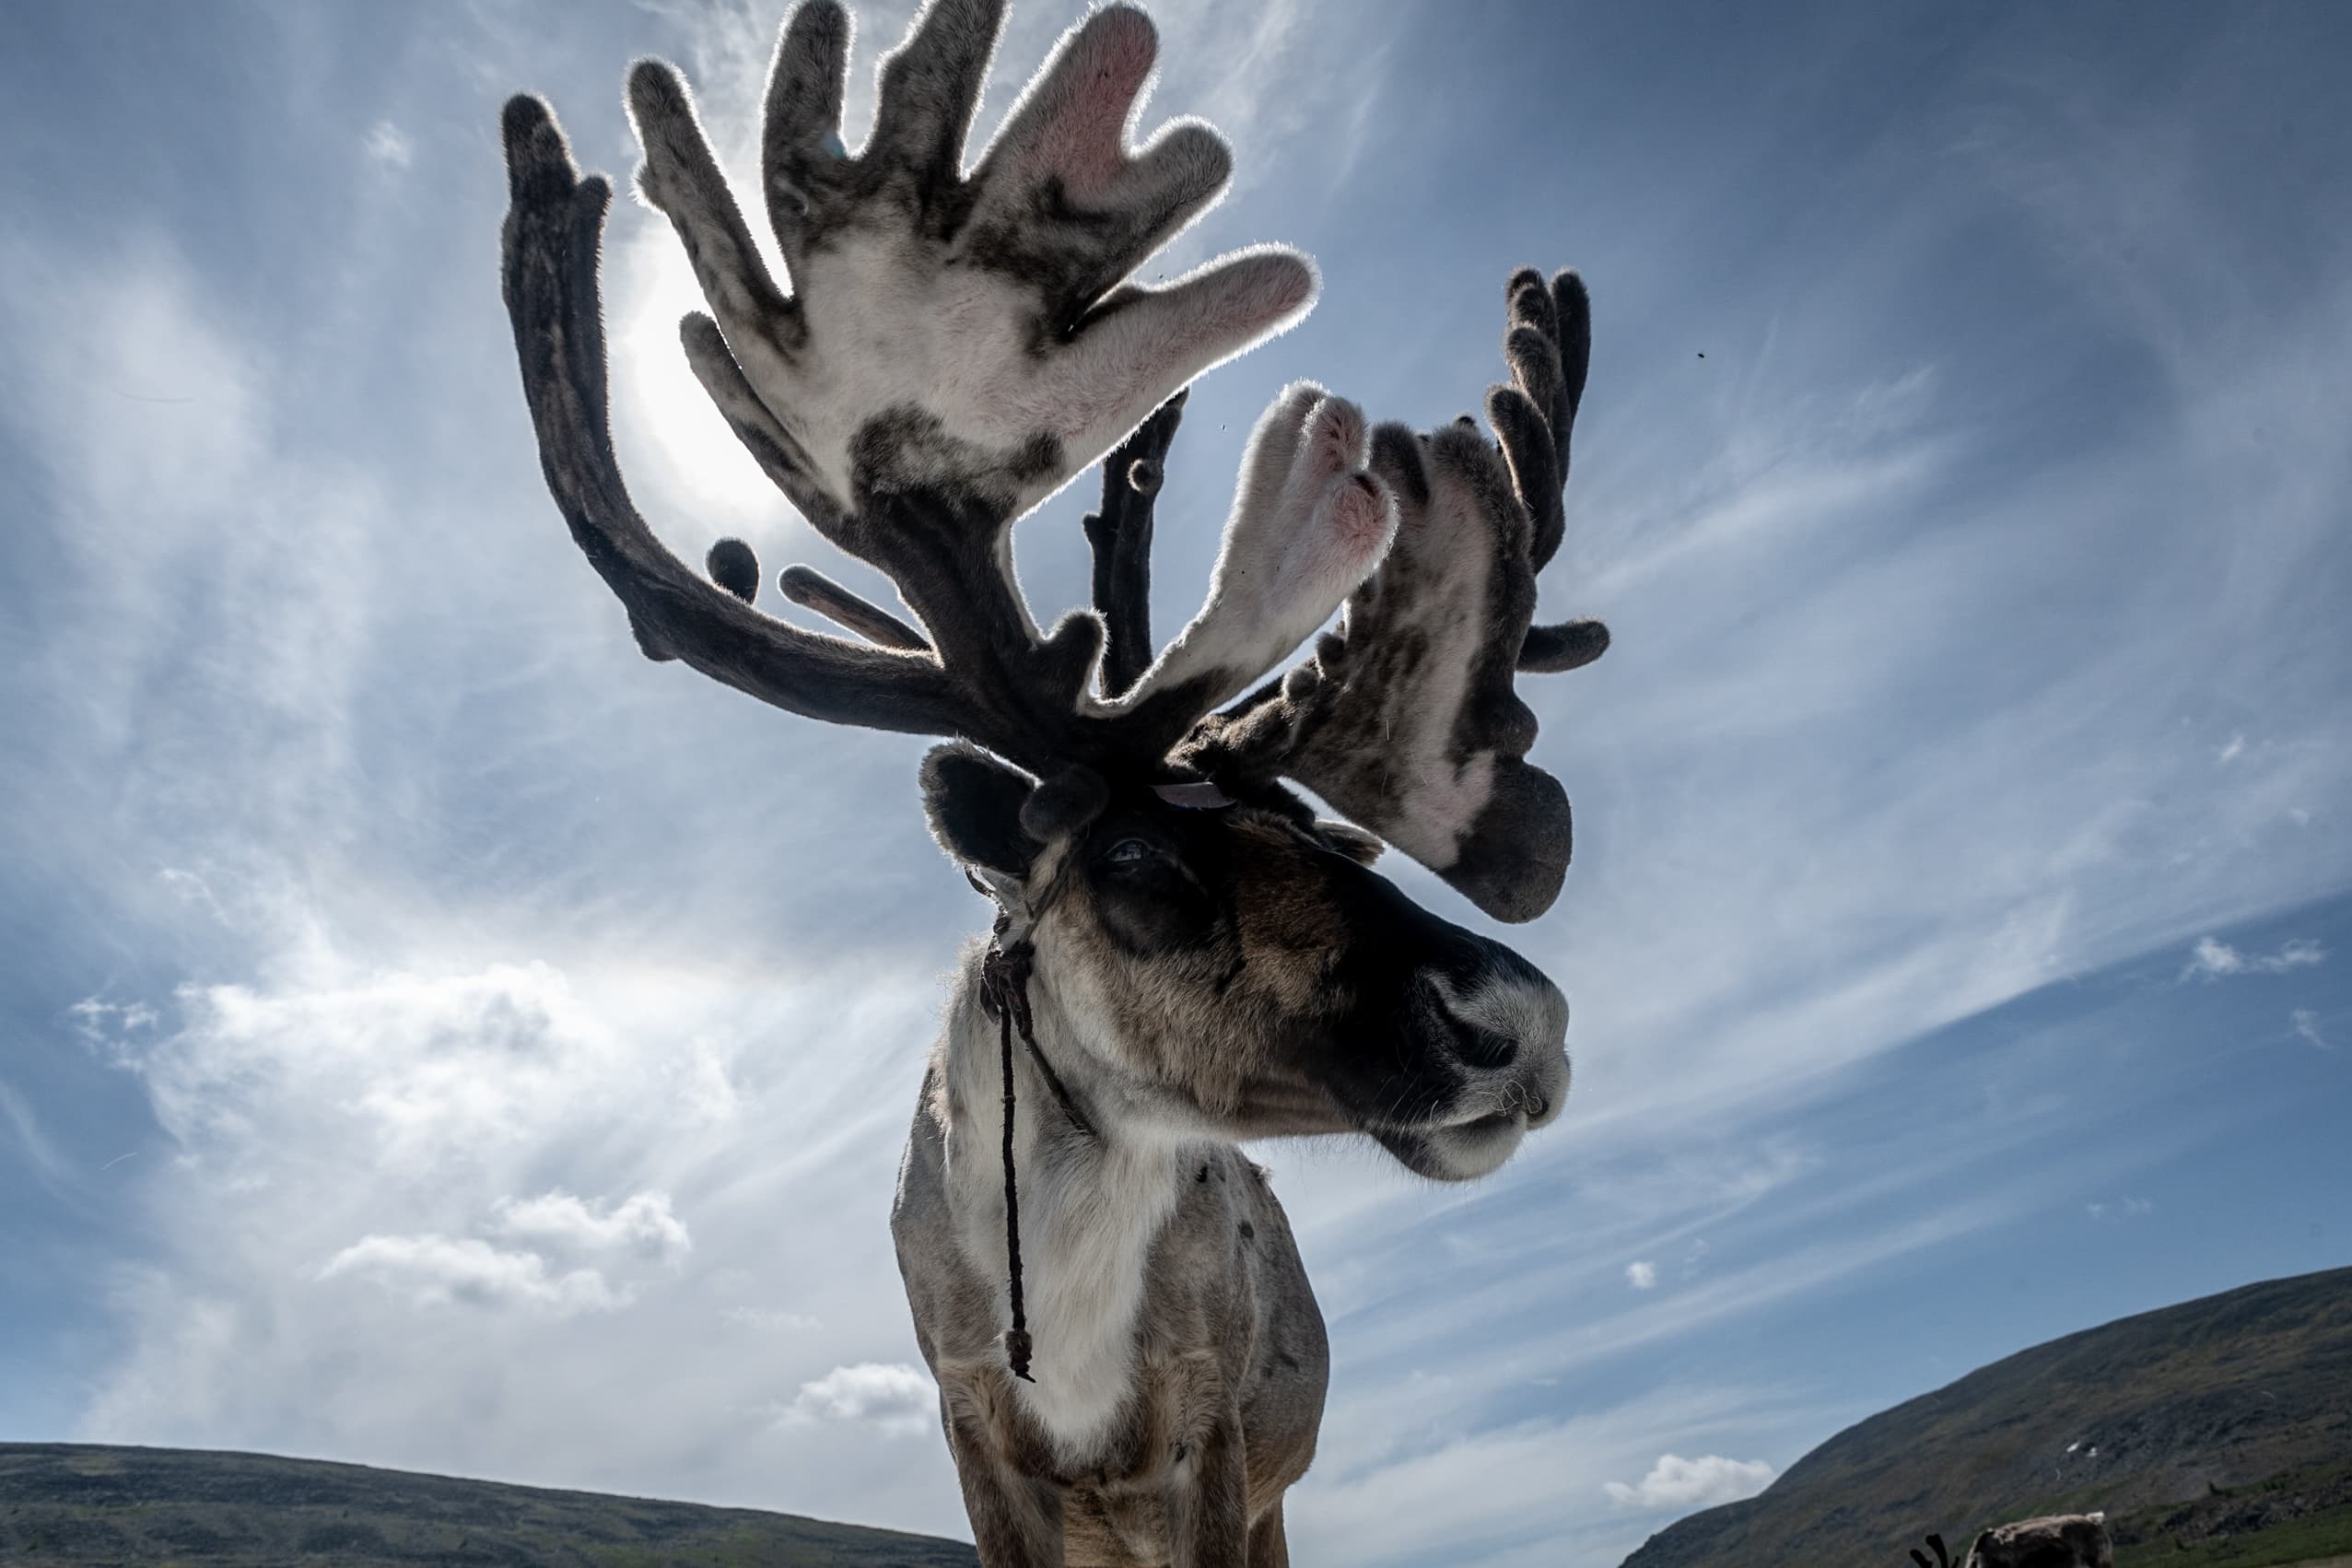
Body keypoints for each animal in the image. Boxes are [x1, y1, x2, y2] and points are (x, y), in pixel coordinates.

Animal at [497, 2, 1610, 1562]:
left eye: (1337, 840)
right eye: (1136, 864)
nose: (1521, 1020)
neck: (1067, 1341)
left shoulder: (1213, 1447)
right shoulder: (974, 1431)